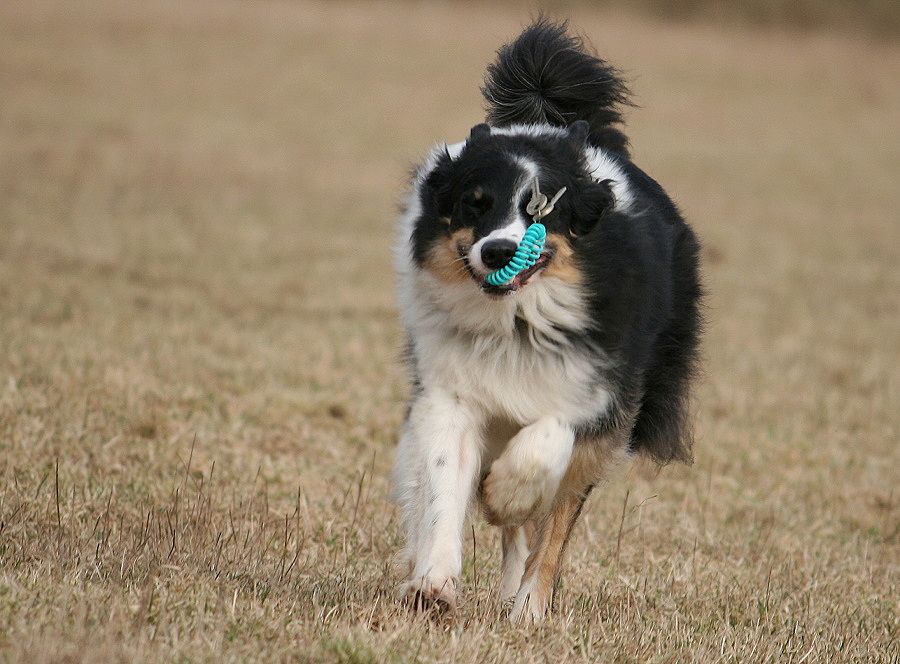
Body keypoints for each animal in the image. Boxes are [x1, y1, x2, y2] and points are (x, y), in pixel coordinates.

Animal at [394, 20, 704, 624]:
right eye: (474, 204)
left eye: (543, 211)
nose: (497, 252)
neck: (516, 320)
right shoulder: (452, 386)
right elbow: (444, 477)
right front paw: (434, 585)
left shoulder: (599, 390)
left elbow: (550, 446)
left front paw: (506, 497)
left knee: (555, 517)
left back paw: (526, 604)